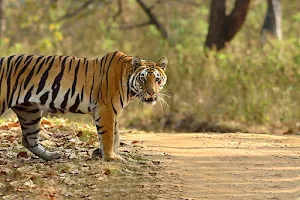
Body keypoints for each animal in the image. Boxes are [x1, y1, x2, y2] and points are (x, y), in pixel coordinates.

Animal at [0, 51, 169, 161]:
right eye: (143, 79)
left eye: (157, 79)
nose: (152, 93)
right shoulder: (106, 109)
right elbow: (108, 135)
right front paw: (110, 157)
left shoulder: (111, 111)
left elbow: (115, 135)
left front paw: (106, 154)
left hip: (30, 111)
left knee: (29, 139)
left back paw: (52, 156)